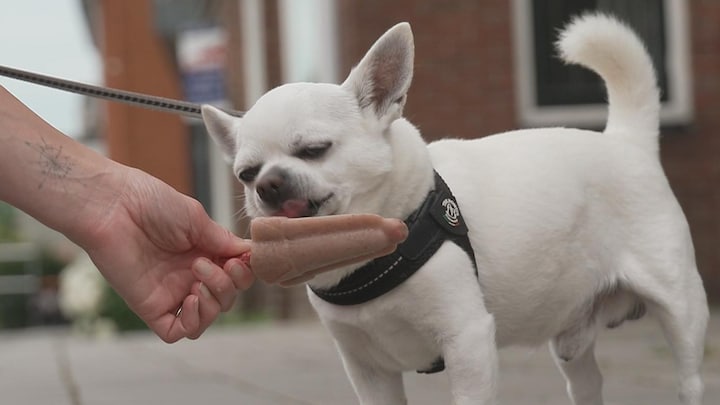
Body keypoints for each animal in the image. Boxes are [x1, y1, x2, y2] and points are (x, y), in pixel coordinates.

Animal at [202, 13, 708, 404]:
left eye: (313, 150)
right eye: (246, 174)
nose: (268, 184)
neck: (368, 253)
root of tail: (626, 140)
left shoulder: (468, 342)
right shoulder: (368, 370)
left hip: (682, 310)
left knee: (691, 378)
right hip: (572, 341)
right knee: (588, 385)